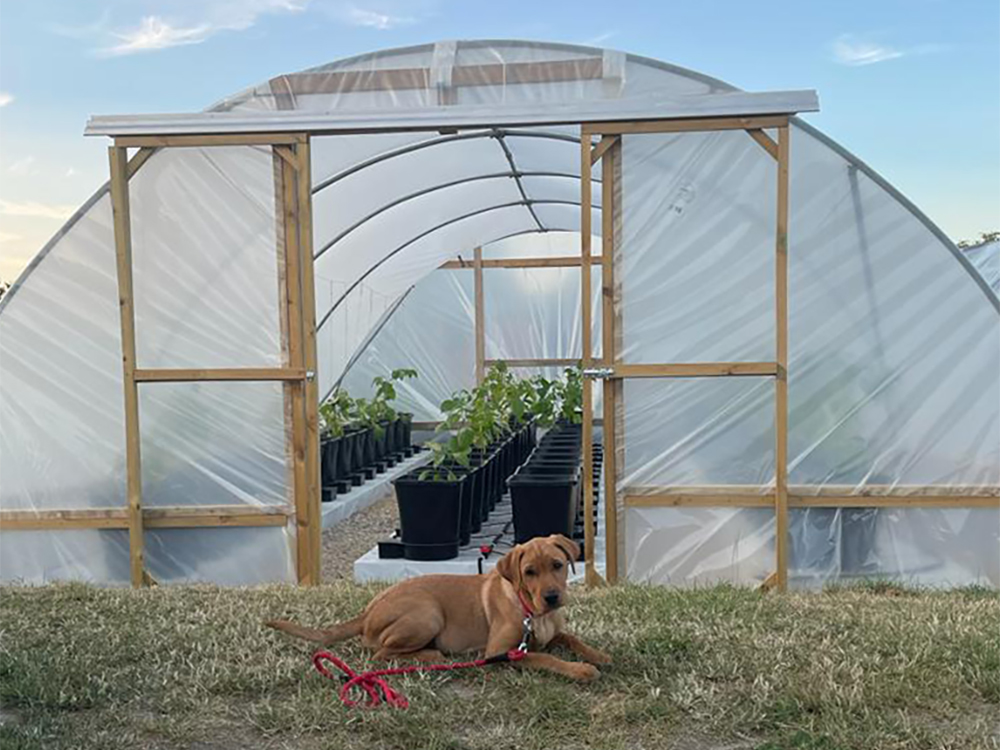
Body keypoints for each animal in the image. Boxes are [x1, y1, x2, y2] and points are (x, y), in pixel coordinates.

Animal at [266, 536, 608, 680]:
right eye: (529, 572)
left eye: (558, 565)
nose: (551, 597)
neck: (533, 613)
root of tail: (367, 612)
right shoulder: (499, 651)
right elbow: (544, 657)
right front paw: (580, 669)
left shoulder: (552, 632)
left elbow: (569, 638)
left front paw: (597, 655)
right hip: (427, 614)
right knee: (380, 653)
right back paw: (431, 654)